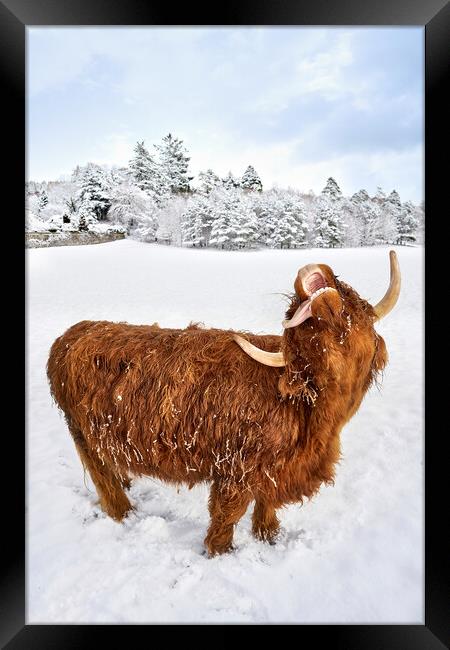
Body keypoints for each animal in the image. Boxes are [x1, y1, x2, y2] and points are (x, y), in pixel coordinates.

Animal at [47, 251, 400, 556]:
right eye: (298, 326)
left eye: (347, 293)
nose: (307, 272)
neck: (313, 415)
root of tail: (71, 334)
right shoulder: (235, 468)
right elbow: (227, 513)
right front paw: (220, 551)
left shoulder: (273, 469)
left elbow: (266, 501)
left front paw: (268, 534)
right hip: (81, 432)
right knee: (101, 476)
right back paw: (124, 512)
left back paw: (127, 481)